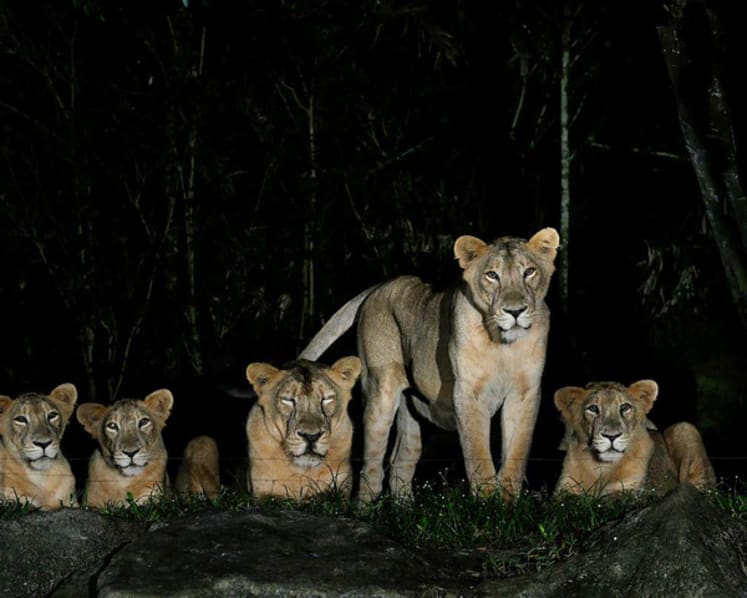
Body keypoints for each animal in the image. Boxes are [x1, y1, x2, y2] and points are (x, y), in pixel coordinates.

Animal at [245, 356, 362, 499]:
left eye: (327, 399)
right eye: (288, 400)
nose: (311, 437)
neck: (302, 472)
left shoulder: (338, 489)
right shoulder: (263, 492)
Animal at [299, 228, 560, 502]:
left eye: (529, 271)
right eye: (492, 275)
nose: (515, 311)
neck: (503, 346)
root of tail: (380, 286)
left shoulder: (525, 392)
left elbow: (517, 454)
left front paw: (508, 503)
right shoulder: (467, 393)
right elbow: (478, 453)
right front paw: (487, 503)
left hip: (411, 411)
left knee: (400, 461)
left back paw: (404, 508)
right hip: (380, 393)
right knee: (372, 466)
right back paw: (365, 507)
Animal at [553, 380, 716, 496]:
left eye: (625, 407)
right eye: (593, 408)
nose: (611, 436)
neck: (602, 467)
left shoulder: (628, 491)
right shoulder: (564, 489)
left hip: (684, 427)